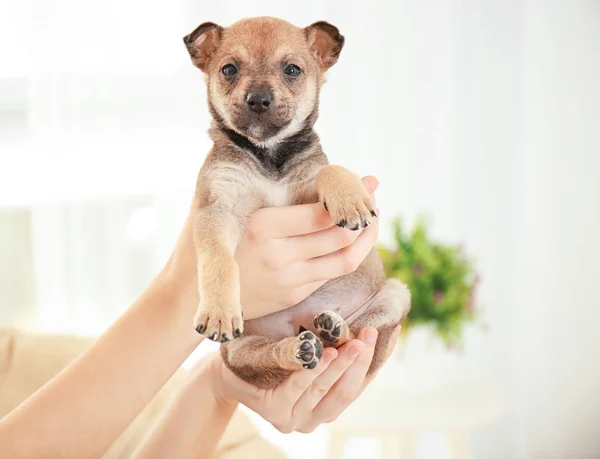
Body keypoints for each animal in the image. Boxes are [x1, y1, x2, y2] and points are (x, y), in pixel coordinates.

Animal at [184, 17, 412, 388]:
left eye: (292, 69)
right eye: (229, 69)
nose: (258, 99)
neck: (269, 154)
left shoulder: (307, 189)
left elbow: (327, 169)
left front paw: (349, 199)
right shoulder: (218, 208)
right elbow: (219, 261)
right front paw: (219, 310)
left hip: (395, 295)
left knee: (355, 334)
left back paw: (333, 329)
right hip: (241, 351)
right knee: (273, 357)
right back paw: (300, 348)